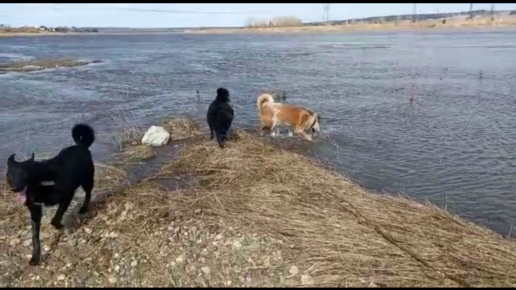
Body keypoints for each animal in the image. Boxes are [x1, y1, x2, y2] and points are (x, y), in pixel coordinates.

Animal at [6, 122, 97, 266]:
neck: (39, 183)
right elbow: (35, 237)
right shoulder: (35, 211)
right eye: (10, 175)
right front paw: (35, 257)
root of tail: (81, 146)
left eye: (25, 174)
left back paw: (83, 208)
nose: (15, 189)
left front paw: (60, 225)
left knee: (88, 193)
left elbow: (55, 218)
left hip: (87, 180)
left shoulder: (67, 196)